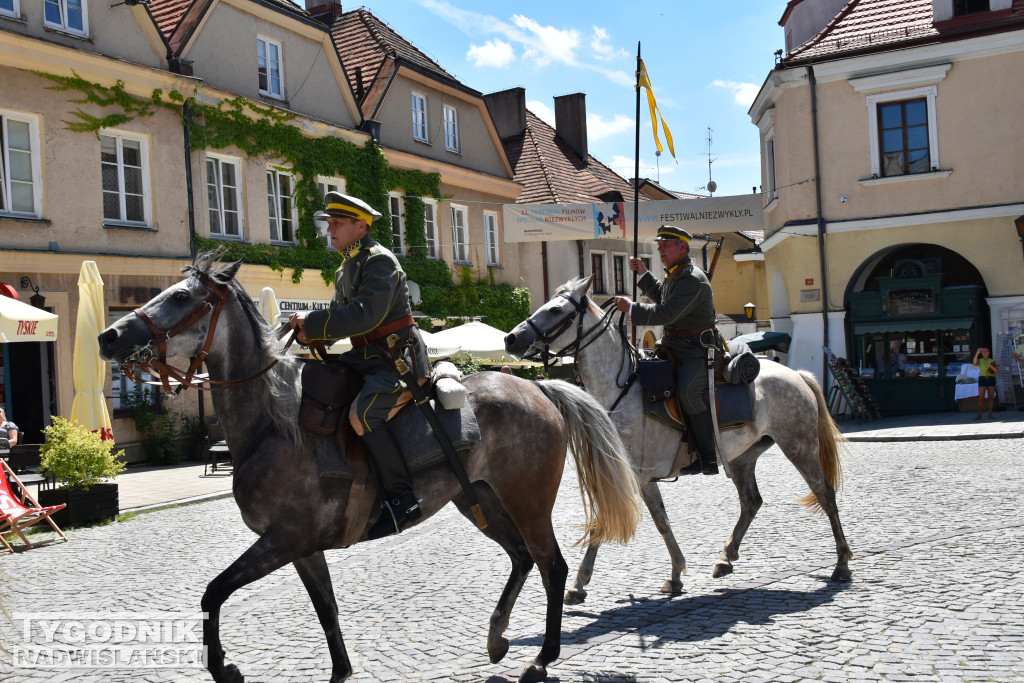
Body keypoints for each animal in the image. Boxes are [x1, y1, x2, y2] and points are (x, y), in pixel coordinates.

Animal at [96, 255, 638, 683]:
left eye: (181, 297)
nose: (109, 334)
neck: (273, 423)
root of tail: (538, 386)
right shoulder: (302, 547)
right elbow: (327, 610)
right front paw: (340, 672)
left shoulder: (282, 540)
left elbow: (213, 594)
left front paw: (224, 667)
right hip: (478, 499)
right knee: (522, 559)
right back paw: (497, 637)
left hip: (527, 503)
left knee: (552, 566)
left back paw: (542, 658)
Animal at [505, 274, 856, 606]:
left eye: (555, 310)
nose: (511, 338)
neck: (624, 388)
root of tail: (797, 375)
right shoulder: (644, 479)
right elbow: (662, 522)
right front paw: (675, 574)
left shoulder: (634, 475)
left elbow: (603, 522)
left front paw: (579, 583)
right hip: (743, 457)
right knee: (751, 502)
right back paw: (725, 558)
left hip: (799, 446)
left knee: (825, 493)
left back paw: (842, 563)